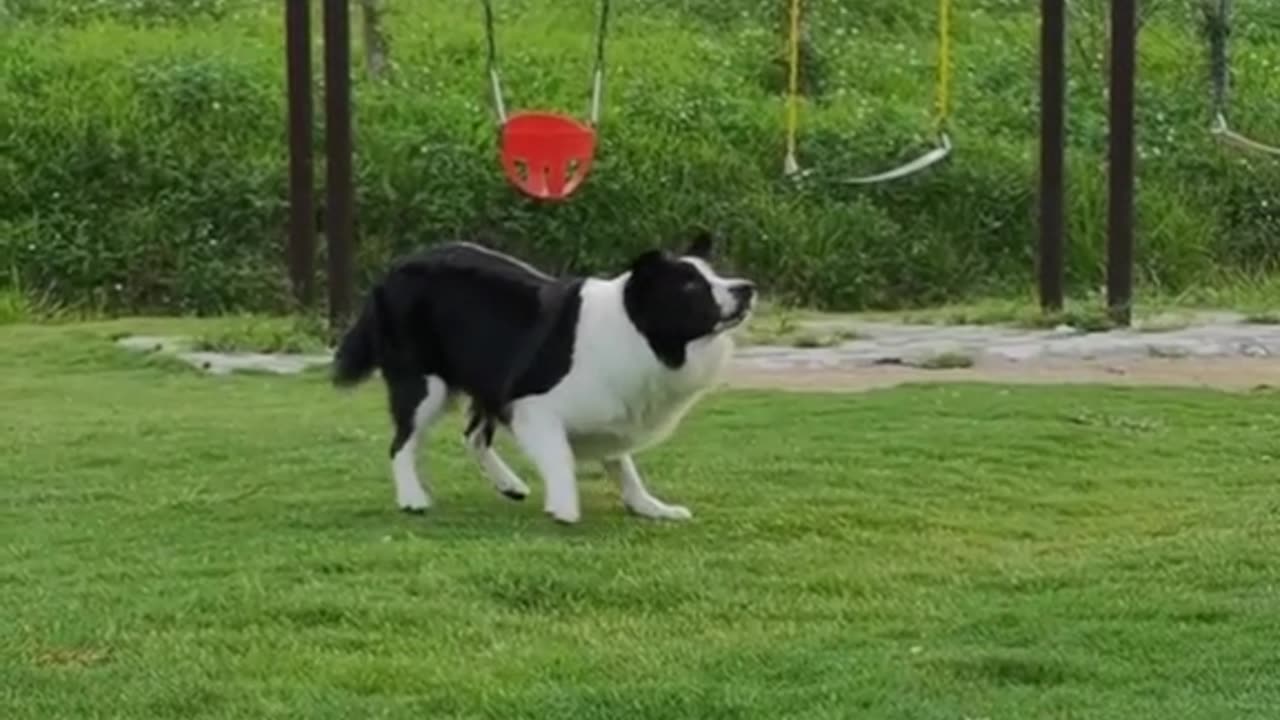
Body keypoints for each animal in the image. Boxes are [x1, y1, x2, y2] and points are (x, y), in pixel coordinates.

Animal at [327, 229, 757, 520]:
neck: (636, 331)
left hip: (488, 375)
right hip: (422, 385)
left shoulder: (608, 412)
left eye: (715, 275)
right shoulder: (533, 404)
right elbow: (561, 455)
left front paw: (650, 507)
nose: (747, 288)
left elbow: (624, 467)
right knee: (402, 442)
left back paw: (509, 484)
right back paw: (412, 498)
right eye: (690, 286)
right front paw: (564, 508)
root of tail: (392, 270)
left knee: (473, 436)